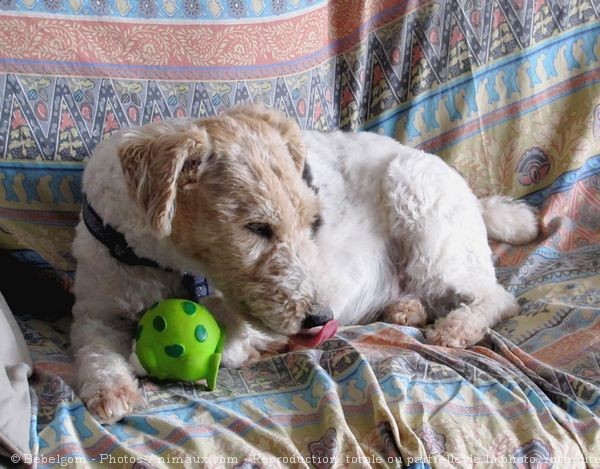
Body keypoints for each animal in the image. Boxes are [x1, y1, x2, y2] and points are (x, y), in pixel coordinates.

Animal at [71, 104, 540, 422]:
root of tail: (475, 199)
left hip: (419, 205)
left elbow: (225, 339)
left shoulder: (241, 312)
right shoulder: (95, 312)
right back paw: (406, 309)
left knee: (497, 296)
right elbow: (94, 349)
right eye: (256, 227)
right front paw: (111, 391)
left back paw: (456, 328)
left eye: (314, 221)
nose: (320, 318)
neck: (157, 262)